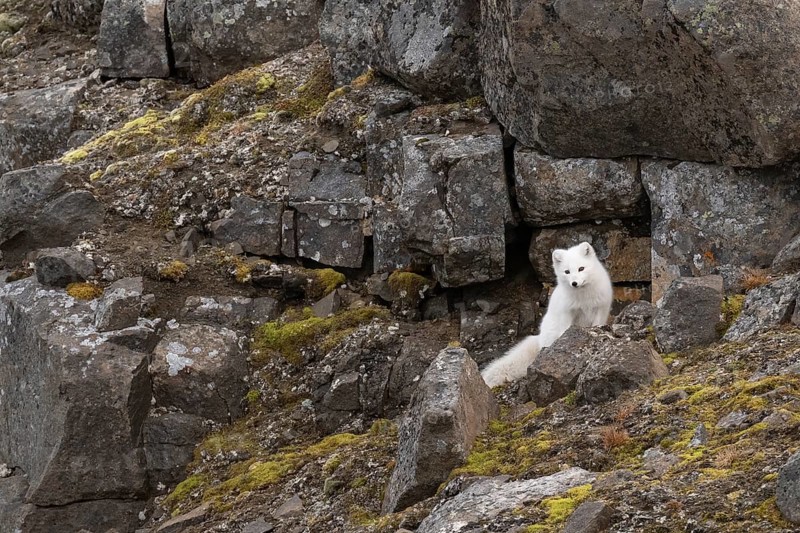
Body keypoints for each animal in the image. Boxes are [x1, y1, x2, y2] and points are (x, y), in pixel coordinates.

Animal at [481, 241, 613, 387]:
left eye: (581, 268)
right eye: (567, 272)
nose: (574, 283)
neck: (584, 299)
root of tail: (539, 338)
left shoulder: (601, 308)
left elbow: (597, 324)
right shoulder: (568, 312)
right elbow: (566, 329)